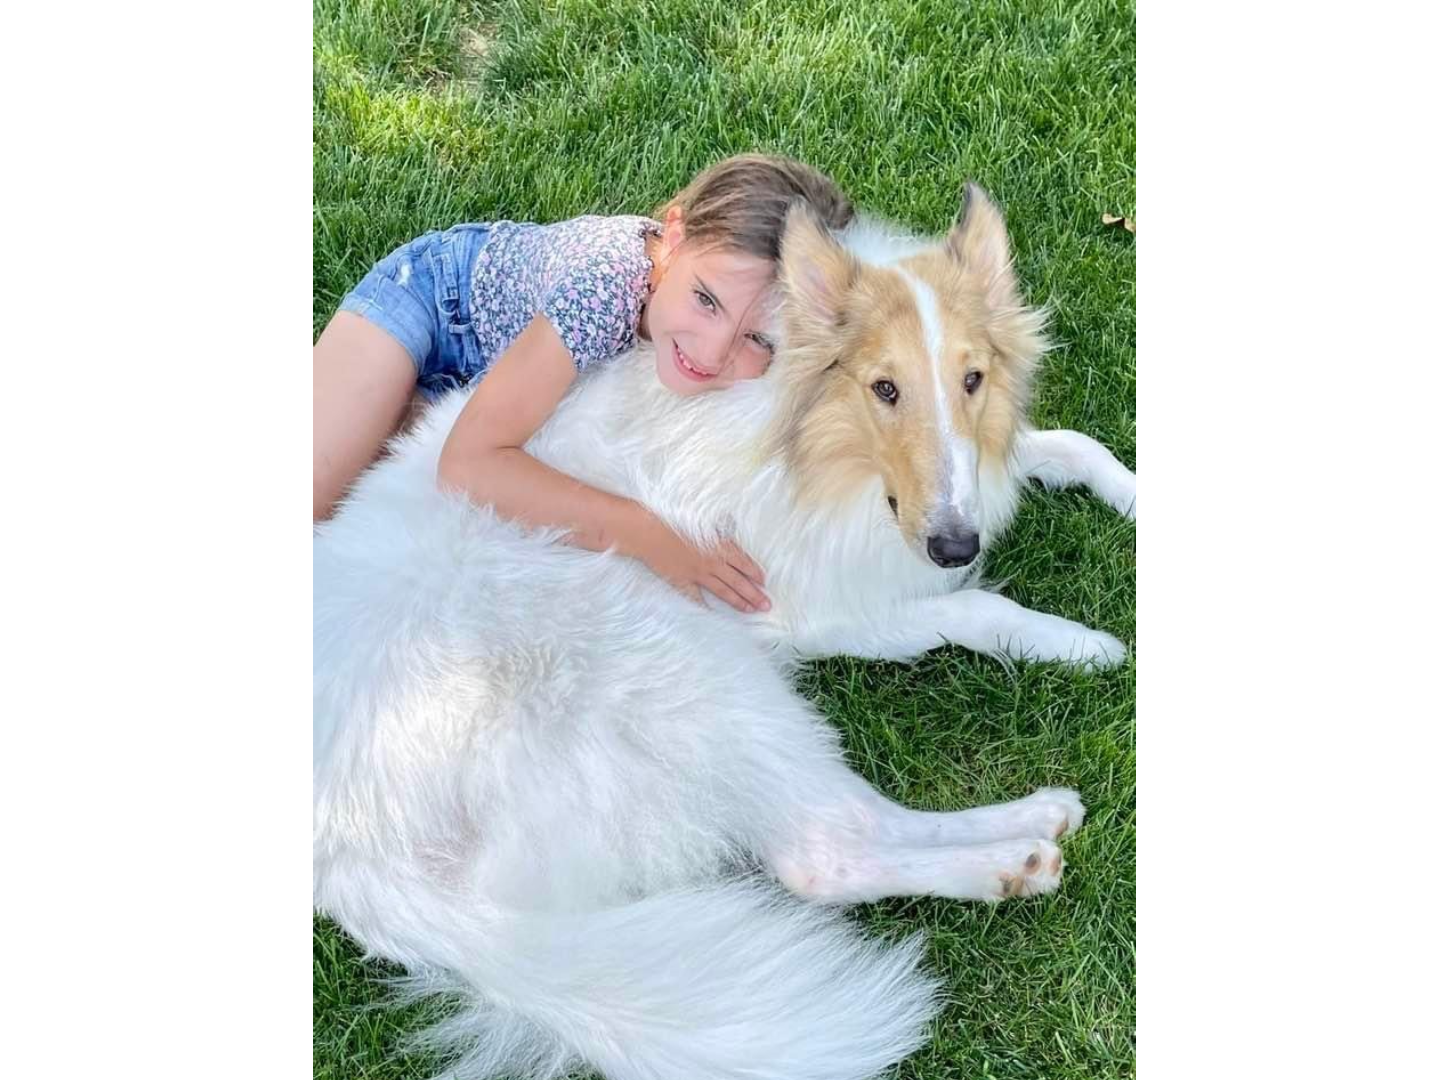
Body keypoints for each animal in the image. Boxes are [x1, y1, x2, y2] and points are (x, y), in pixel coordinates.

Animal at [312, 185, 1134, 1080]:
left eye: (973, 380)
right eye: (885, 389)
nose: (958, 546)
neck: (800, 429)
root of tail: (354, 854)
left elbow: (1073, 445)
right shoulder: (810, 604)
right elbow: (978, 608)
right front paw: (1081, 643)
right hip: (702, 671)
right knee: (825, 850)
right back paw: (1015, 854)